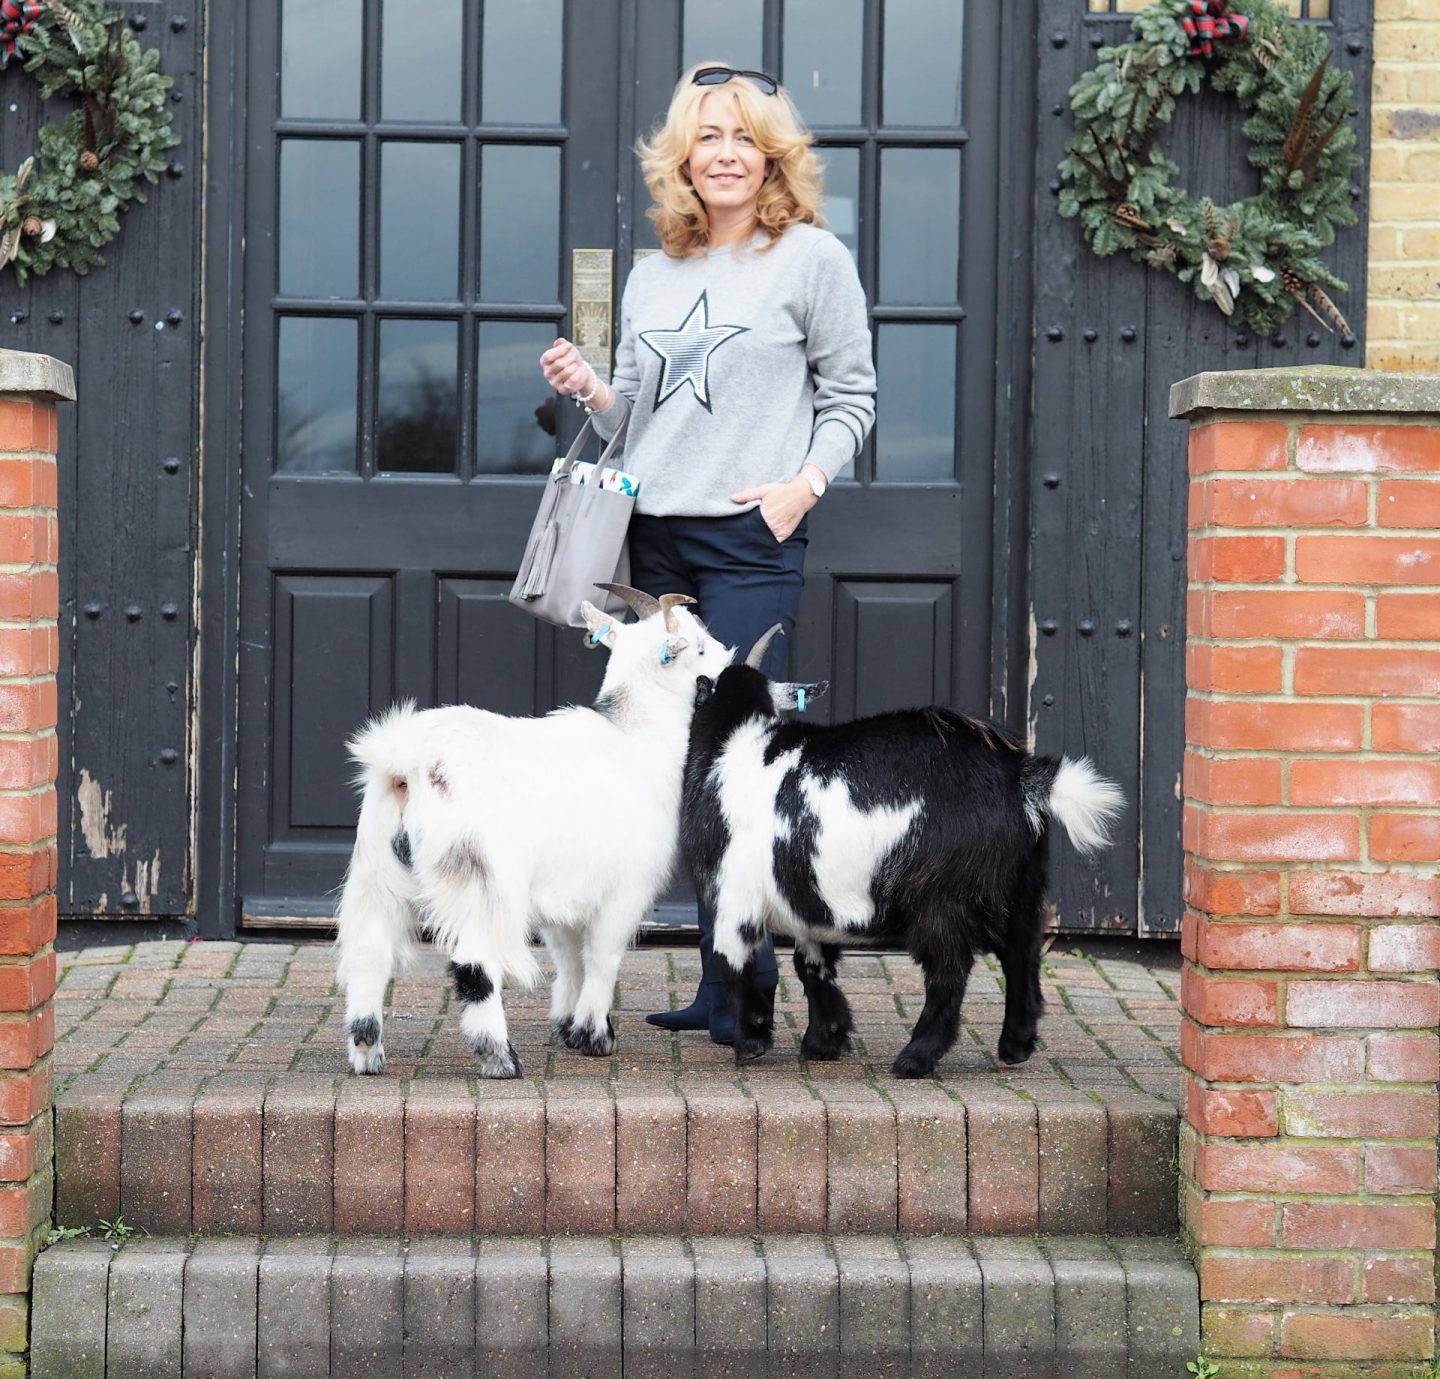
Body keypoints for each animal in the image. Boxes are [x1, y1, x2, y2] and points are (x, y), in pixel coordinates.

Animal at [334, 581, 731, 1082]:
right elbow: (603, 957)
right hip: (482, 879)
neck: (635, 737)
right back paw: (498, 1057)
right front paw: (596, 1036)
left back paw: (367, 1051)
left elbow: (570, 957)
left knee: (369, 950)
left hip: (379, 867)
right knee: (474, 961)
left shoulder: (566, 893)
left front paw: (570, 1028)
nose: (731, 659)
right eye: (697, 648)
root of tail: (408, 763)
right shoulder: (625, 889)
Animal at [679, 627, 1128, 1082]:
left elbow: (731, 960)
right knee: (1022, 954)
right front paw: (826, 1039)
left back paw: (916, 1057)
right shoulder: (807, 899)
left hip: (943, 896)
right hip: (1021, 885)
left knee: (949, 972)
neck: (736, 746)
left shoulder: (734, 895)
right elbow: (812, 964)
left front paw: (751, 1041)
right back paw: (1015, 1046)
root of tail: (1020, 779)